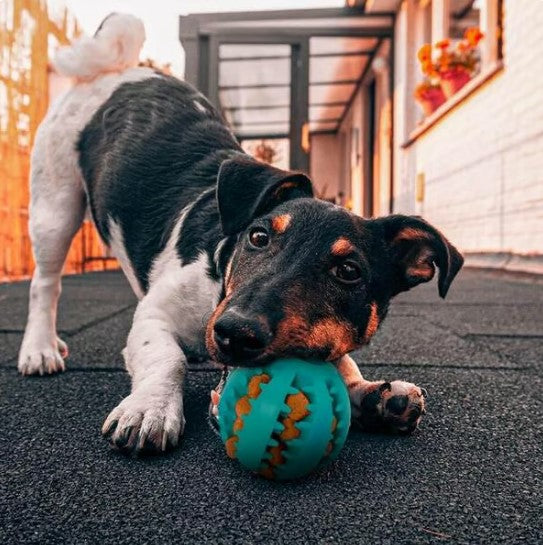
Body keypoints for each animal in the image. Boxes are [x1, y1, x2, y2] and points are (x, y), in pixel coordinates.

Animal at [18, 14, 464, 452]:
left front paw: (372, 394)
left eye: (349, 272)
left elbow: (343, 364)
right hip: (54, 207)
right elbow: (167, 358)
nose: (234, 332)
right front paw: (150, 408)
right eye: (259, 238)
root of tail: (117, 69)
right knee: (45, 285)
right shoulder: (154, 315)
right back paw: (41, 348)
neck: (221, 272)